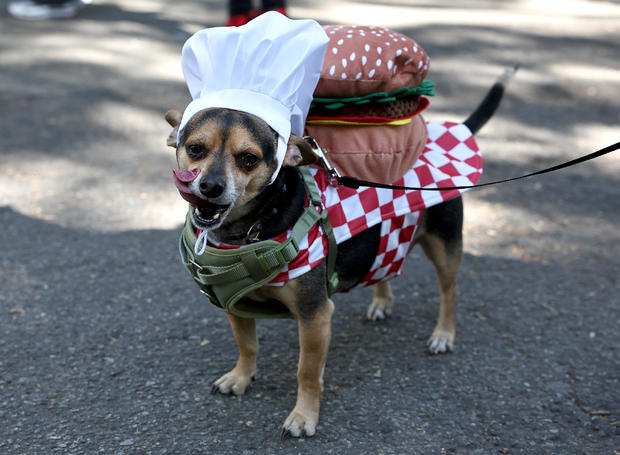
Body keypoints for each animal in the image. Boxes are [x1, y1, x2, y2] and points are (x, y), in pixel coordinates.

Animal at [163, 66, 512, 436]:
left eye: (248, 159)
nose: (210, 186)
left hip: (444, 247)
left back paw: (443, 334)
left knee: (449, 290)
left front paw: (303, 416)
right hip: (388, 239)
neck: (252, 229)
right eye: (195, 148)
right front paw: (241, 377)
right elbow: (247, 345)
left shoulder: (315, 316)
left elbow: (306, 372)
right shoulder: (236, 307)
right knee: (385, 264)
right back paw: (381, 302)